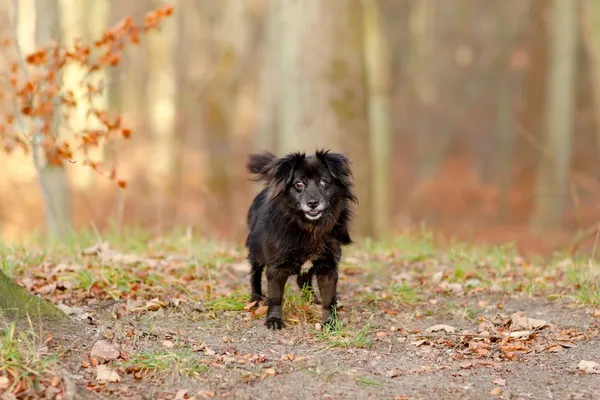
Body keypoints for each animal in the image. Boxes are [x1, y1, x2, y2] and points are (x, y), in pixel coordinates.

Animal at [244, 148, 356, 330]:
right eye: (298, 184)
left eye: (323, 182)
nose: (312, 203)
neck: (309, 227)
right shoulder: (276, 267)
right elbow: (275, 297)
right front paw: (274, 320)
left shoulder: (328, 266)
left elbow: (329, 298)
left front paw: (330, 322)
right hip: (256, 253)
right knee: (255, 274)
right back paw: (256, 299)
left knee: (303, 279)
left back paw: (311, 299)